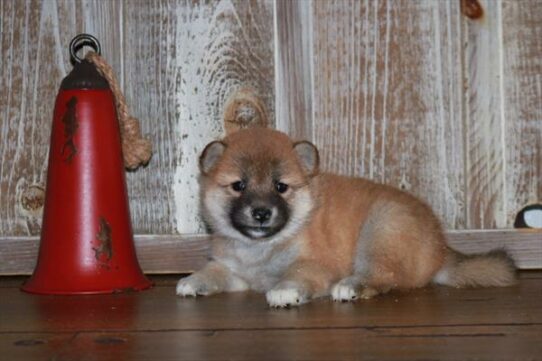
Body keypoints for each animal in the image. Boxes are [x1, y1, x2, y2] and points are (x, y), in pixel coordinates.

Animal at [178, 127, 520, 306]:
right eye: (239, 186)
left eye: (280, 187)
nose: (261, 213)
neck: (260, 249)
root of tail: (440, 249)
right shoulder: (233, 270)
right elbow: (212, 272)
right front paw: (192, 281)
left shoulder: (315, 266)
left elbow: (296, 275)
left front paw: (285, 292)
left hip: (380, 231)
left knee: (384, 278)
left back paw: (350, 287)